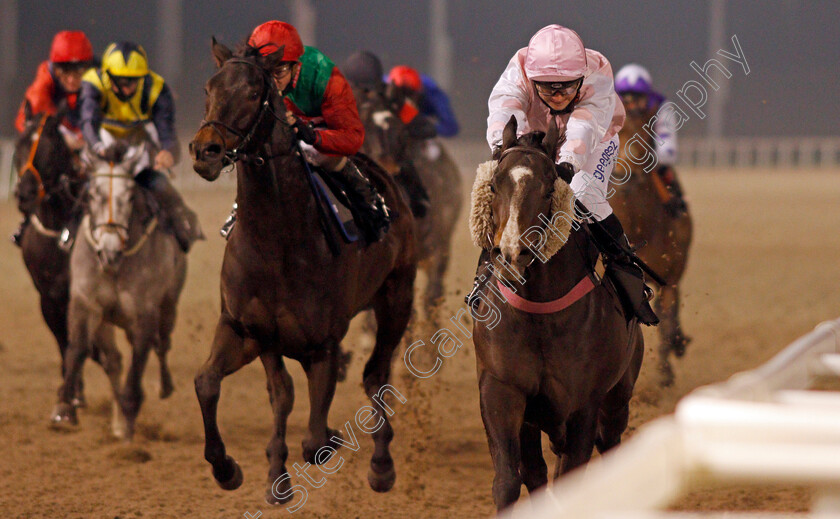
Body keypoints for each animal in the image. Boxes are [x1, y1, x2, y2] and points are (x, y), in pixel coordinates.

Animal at [51, 142, 186, 438]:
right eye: (92, 194)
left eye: (131, 196)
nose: (109, 252)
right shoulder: (85, 304)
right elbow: (78, 348)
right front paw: (64, 408)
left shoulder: (145, 314)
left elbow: (139, 359)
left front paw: (130, 411)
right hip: (106, 321)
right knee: (113, 360)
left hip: (169, 306)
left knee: (162, 345)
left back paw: (161, 389)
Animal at [188, 39, 416, 504]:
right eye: (209, 87)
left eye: (252, 94)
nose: (205, 151)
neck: (277, 242)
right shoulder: (247, 329)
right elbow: (216, 384)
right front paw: (234, 469)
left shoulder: (323, 345)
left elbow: (313, 441)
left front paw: (328, 441)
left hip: (396, 297)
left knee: (376, 375)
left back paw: (381, 466)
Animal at [472, 116, 644, 510]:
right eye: (495, 183)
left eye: (550, 187)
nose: (512, 254)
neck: (538, 312)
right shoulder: (500, 388)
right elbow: (509, 481)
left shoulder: (583, 405)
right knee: (535, 472)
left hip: (618, 397)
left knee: (611, 444)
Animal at [608, 105, 692, 386]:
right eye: (615, 133)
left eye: (645, 135)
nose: (623, 174)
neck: (639, 225)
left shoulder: (669, 278)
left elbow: (666, 322)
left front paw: (665, 376)